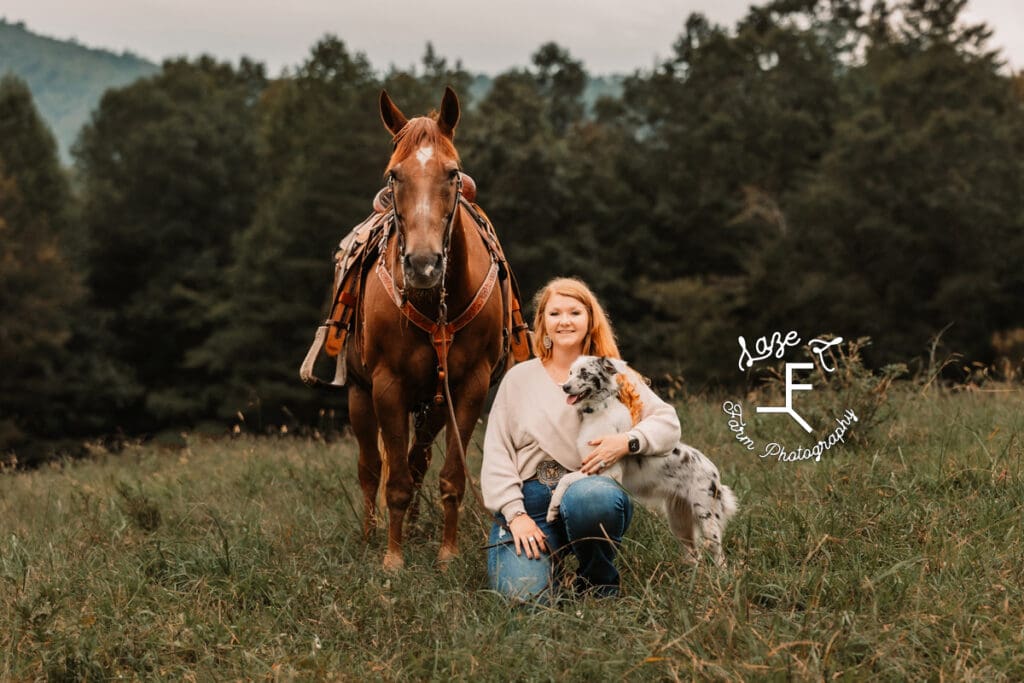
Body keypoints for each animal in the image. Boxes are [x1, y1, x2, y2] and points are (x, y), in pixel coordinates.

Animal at [348, 87, 507, 573]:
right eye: (394, 175)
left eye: (452, 173)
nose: (422, 264)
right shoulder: (386, 387)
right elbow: (393, 479)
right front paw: (393, 558)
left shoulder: (468, 387)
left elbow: (449, 475)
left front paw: (447, 553)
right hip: (359, 395)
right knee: (370, 467)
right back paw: (370, 534)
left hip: (433, 403)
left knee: (417, 459)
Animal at [548, 358, 741, 565]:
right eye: (571, 372)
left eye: (584, 373)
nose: (565, 387)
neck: (599, 411)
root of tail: (713, 469)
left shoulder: (606, 471)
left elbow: (564, 479)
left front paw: (553, 507)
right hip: (679, 522)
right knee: (694, 556)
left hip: (706, 518)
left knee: (719, 556)